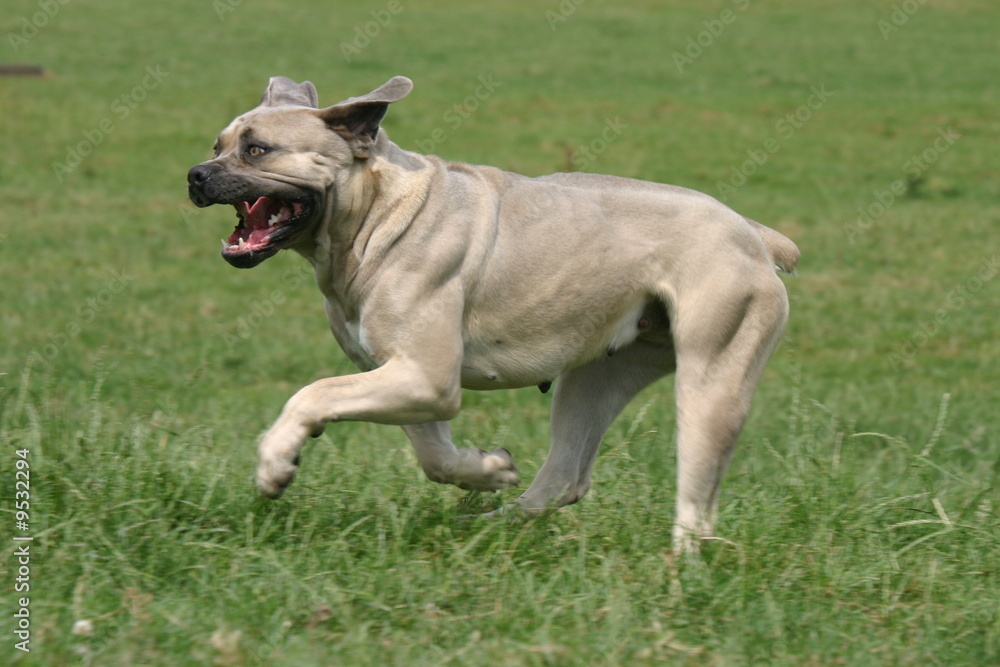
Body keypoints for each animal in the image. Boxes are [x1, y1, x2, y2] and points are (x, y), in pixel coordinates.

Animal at [186, 75, 796, 552]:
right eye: (217, 144)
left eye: (257, 150)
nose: (195, 174)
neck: (375, 216)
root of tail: (753, 234)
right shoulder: (406, 377)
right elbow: (434, 455)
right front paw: (489, 468)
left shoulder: (425, 376)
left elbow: (312, 393)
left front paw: (276, 462)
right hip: (599, 376)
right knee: (564, 477)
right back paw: (491, 526)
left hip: (710, 382)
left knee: (696, 505)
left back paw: (678, 569)